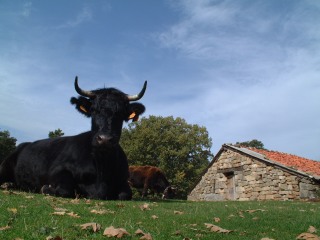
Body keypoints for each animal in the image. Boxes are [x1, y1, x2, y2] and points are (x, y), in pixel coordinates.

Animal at [0, 76, 147, 200]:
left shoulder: (123, 179)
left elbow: (125, 194)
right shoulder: (58, 170)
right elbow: (65, 190)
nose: (104, 139)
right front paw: (46, 188)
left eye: (121, 113)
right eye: (94, 110)